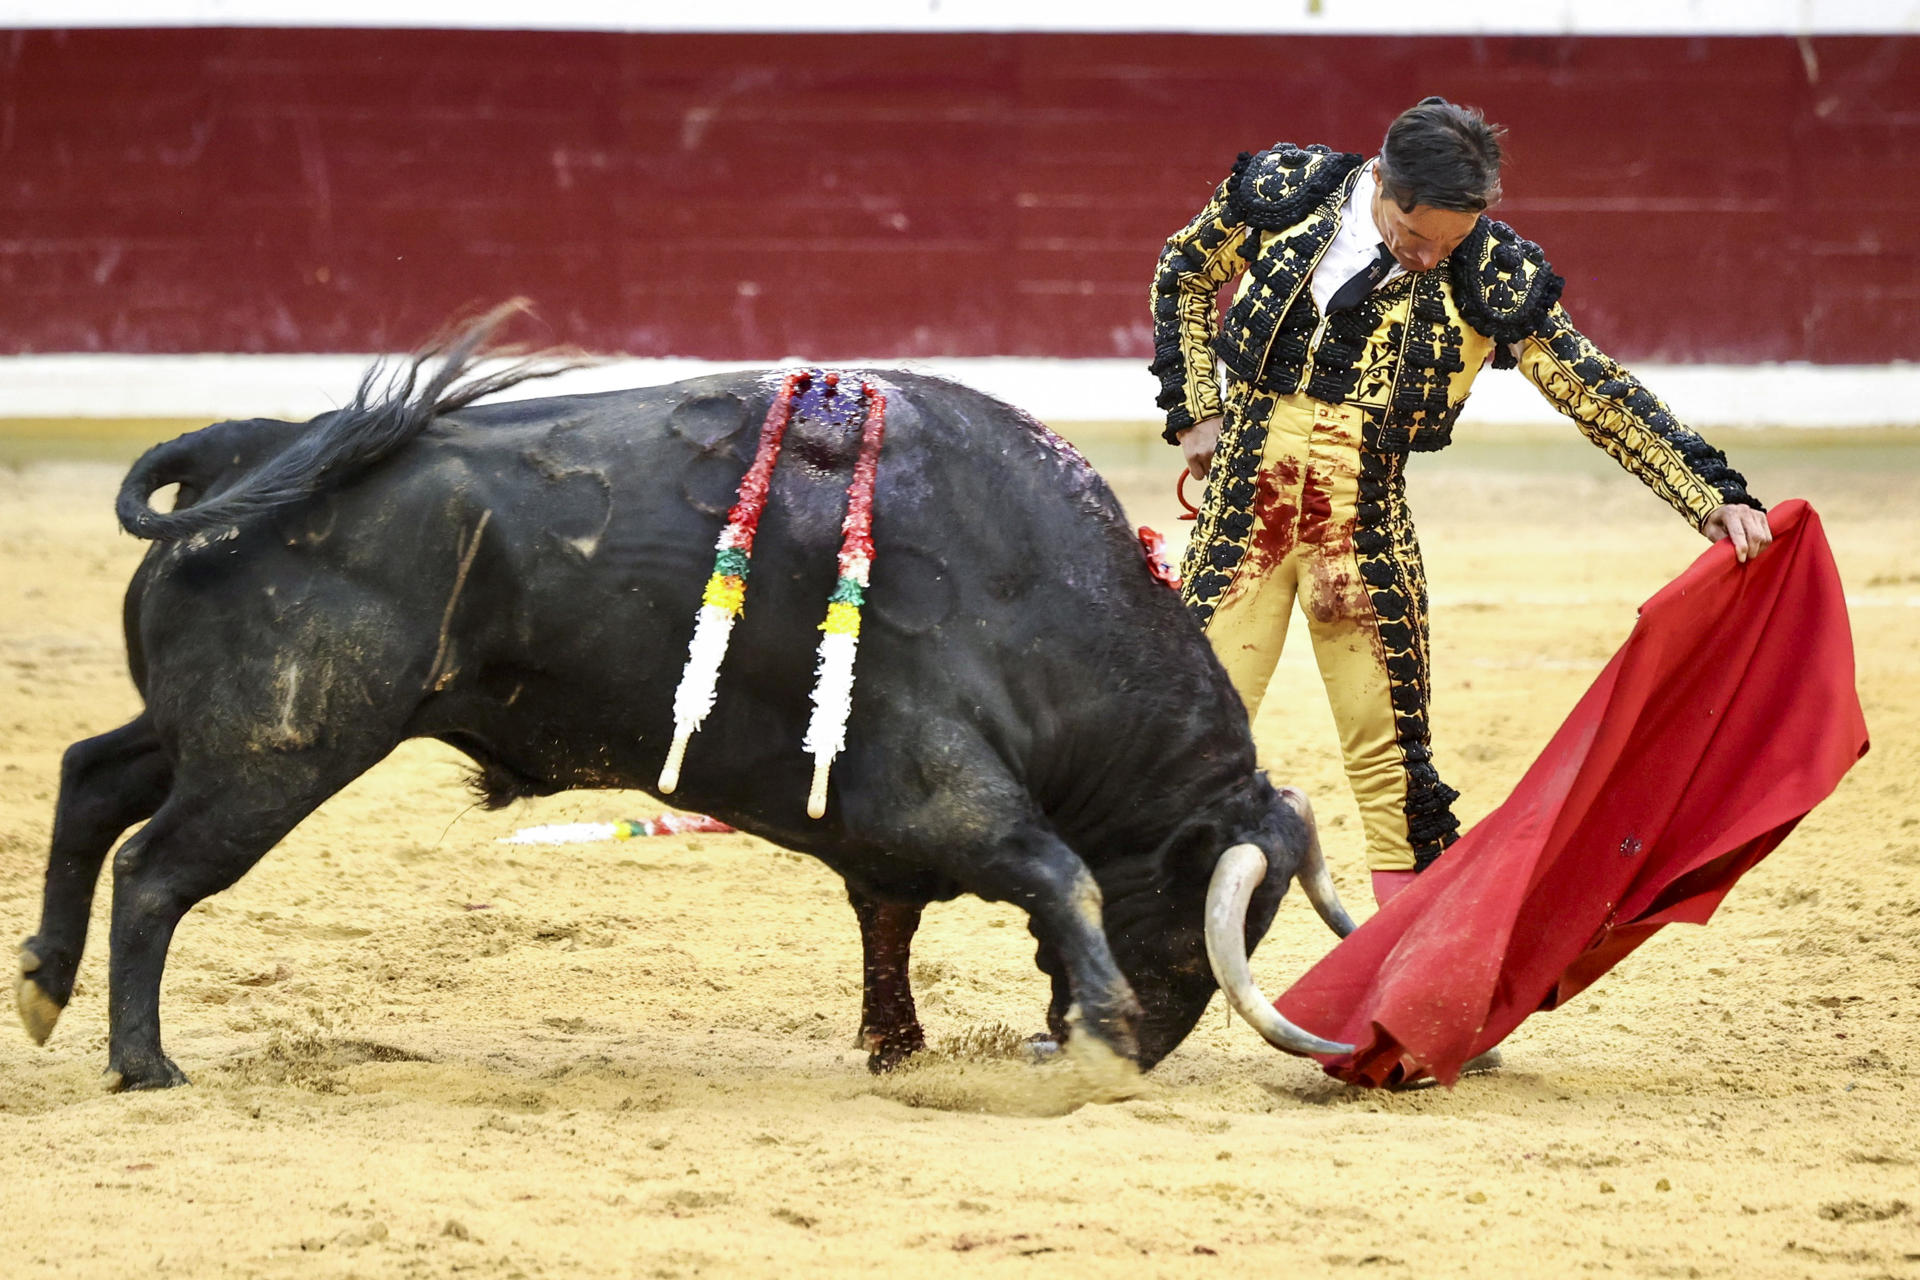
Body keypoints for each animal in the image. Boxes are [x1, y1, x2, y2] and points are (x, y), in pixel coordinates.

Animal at [22, 322, 1359, 1090]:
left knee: (91, 775)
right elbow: (1053, 868)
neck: (1035, 582)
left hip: (212, 731)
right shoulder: (936, 784)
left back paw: (42, 986)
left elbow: (892, 921)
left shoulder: (888, 827)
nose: (1148, 1049)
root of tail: (254, 444)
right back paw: (143, 1063)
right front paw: (1084, 1033)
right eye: (1203, 915)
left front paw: (899, 1049)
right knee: (155, 867)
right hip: (281, 745)